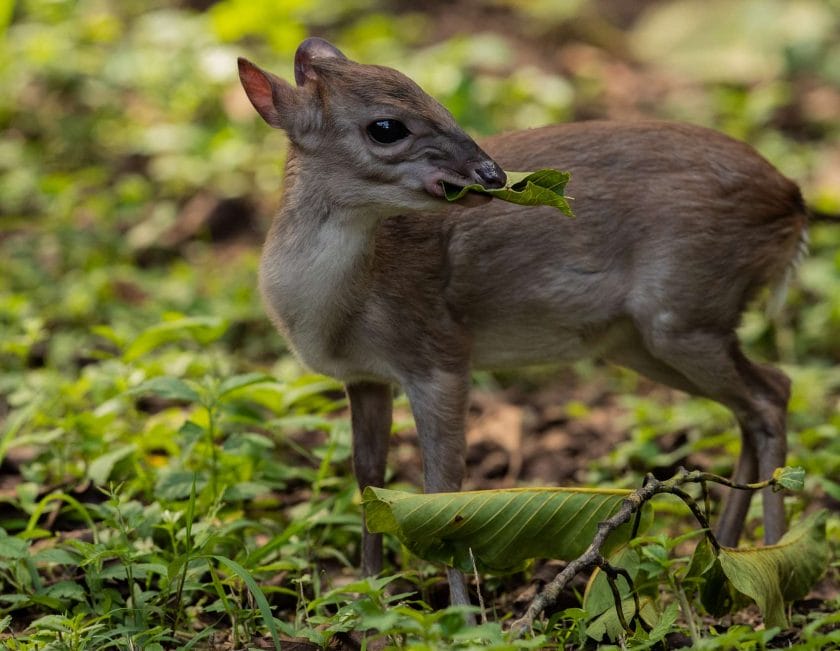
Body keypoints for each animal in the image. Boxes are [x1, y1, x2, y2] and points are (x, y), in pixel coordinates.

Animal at [236, 35, 808, 608]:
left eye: (435, 100)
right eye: (386, 126)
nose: (491, 175)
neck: (346, 306)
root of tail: (793, 200)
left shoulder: (439, 352)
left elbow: (442, 488)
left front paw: (464, 613)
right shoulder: (364, 378)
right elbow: (368, 476)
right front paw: (368, 593)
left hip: (685, 311)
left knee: (770, 393)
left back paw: (775, 560)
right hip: (640, 341)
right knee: (759, 398)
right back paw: (723, 556)